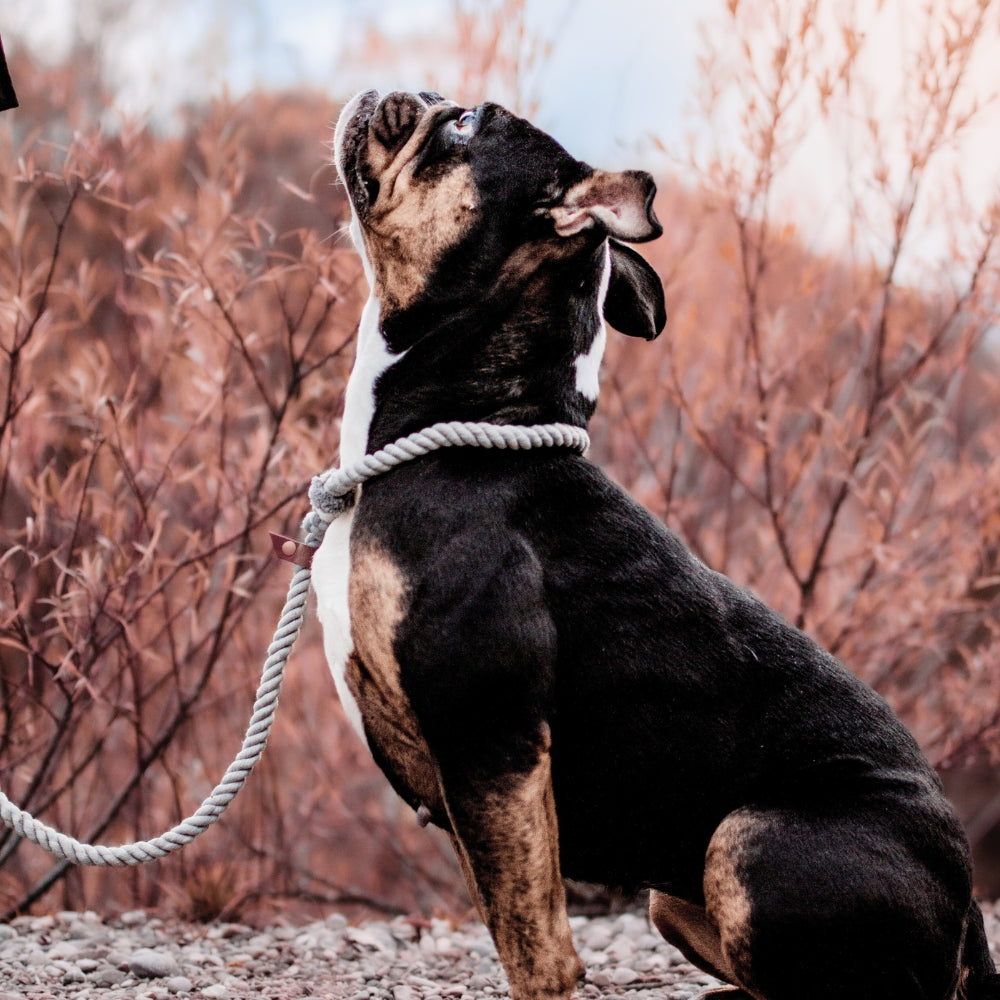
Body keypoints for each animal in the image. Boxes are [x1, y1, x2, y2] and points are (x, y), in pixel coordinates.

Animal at [312, 88, 1000, 1000]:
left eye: (465, 124)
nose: (403, 93)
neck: (470, 425)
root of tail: (967, 913)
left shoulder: (493, 744)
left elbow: (534, 945)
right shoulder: (480, 789)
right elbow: (507, 912)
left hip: (748, 843)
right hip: (673, 895)